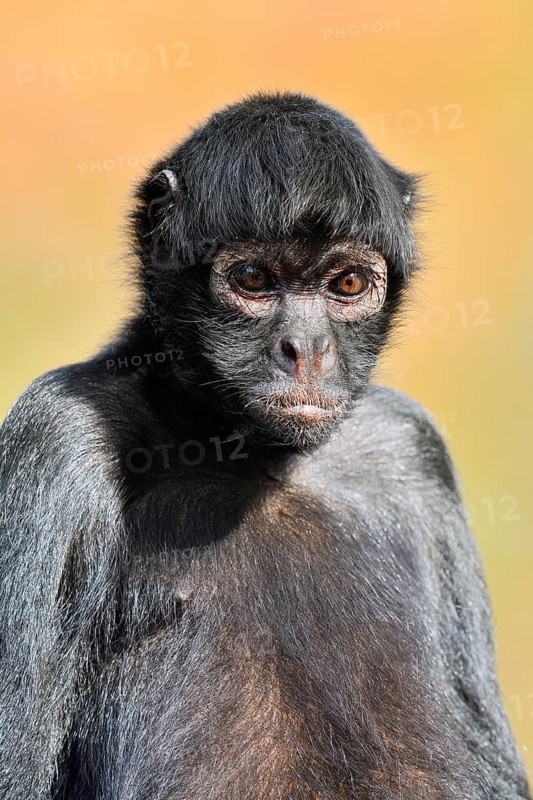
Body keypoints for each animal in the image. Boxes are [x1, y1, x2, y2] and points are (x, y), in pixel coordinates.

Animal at [0, 90, 529, 800]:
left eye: (348, 285)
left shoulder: (408, 445)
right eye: (254, 278)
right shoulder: (58, 435)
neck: (251, 460)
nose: (306, 348)